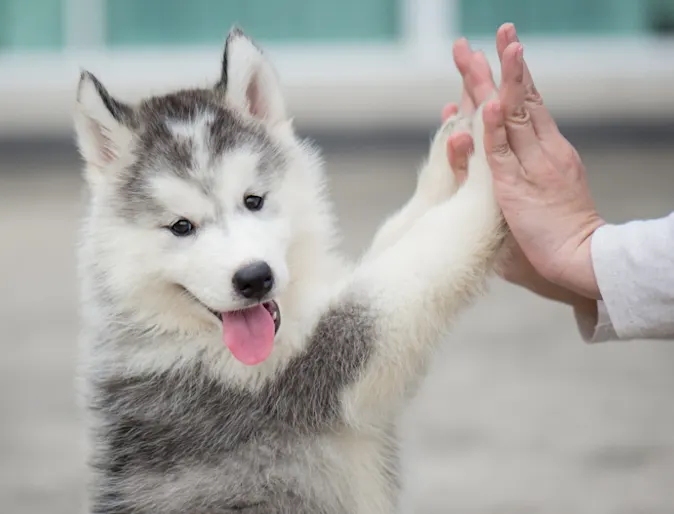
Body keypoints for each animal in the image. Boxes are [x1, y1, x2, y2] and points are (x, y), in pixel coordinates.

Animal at [73, 27, 504, 512]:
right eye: (181, 226)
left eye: (253, 200)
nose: (253, 278)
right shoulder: (317, 366)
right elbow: (419, 257)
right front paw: (494, 155)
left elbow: (400, 234)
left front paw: (454, 154)